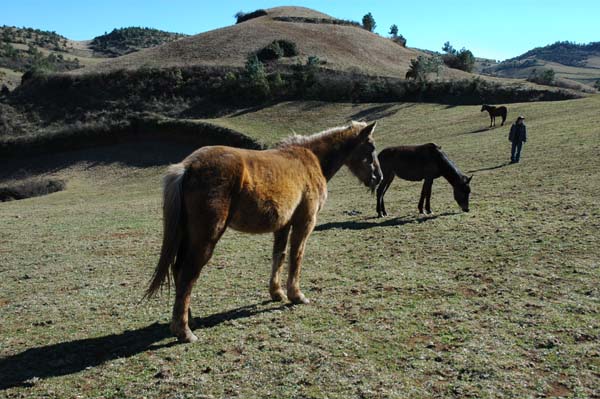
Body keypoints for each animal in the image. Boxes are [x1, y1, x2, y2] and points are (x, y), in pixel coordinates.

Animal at [144, 120, 384, 342]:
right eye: (370, 147)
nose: (378, 177)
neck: (310, 160)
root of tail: (188, 166)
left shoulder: (283, 225)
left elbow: (279, 255)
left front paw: (277, 292)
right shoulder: (305, 222)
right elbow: (296, 256)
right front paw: (296, 295)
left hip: (188, 235)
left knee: (178, 270)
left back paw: (189, 320)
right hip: (206, 237)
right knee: (188, 274)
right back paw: (184, 331)